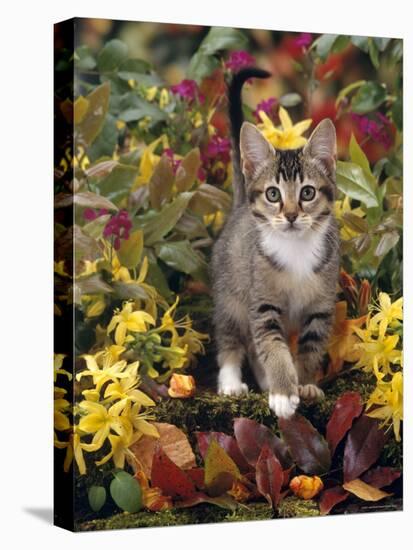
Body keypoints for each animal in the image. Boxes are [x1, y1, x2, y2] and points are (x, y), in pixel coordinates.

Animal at [211, 70, 340, 422]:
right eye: (273, 194)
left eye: (307, 193)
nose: (292, 215)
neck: (295, 249)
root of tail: (239, 206)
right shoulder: (262, 304)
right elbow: (273, 346)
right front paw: (283, 392)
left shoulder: (321, 307)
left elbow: (309, 348)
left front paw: (304, 384)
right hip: (231, 294)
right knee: (232, 339)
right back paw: (232, 381)